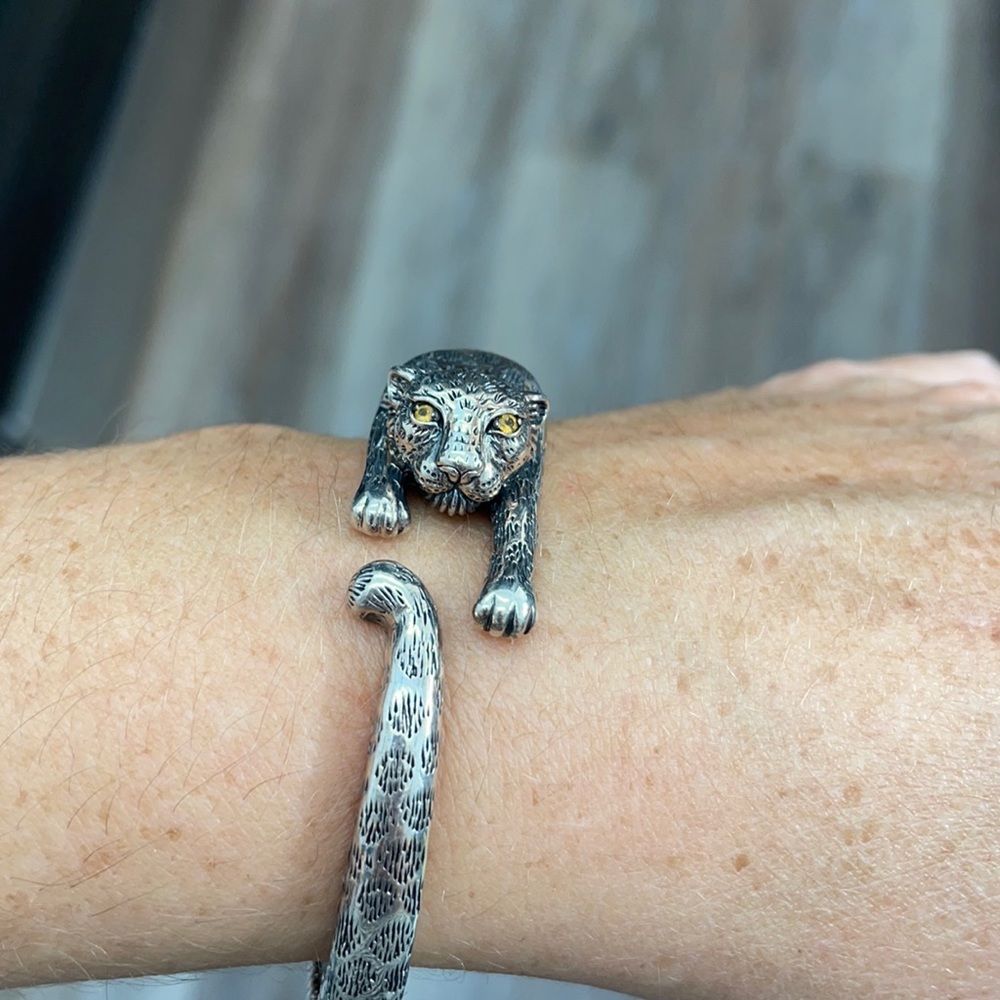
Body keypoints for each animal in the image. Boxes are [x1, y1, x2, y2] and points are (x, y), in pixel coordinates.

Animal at [351, 349, 549, 637]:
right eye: (423, 412)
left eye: (506, 423)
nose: (459, 468)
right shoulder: (385, 412)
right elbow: (381, 449)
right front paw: (379, 507)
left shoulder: (524, 479)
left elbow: (519, 532)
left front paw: (506, 602)